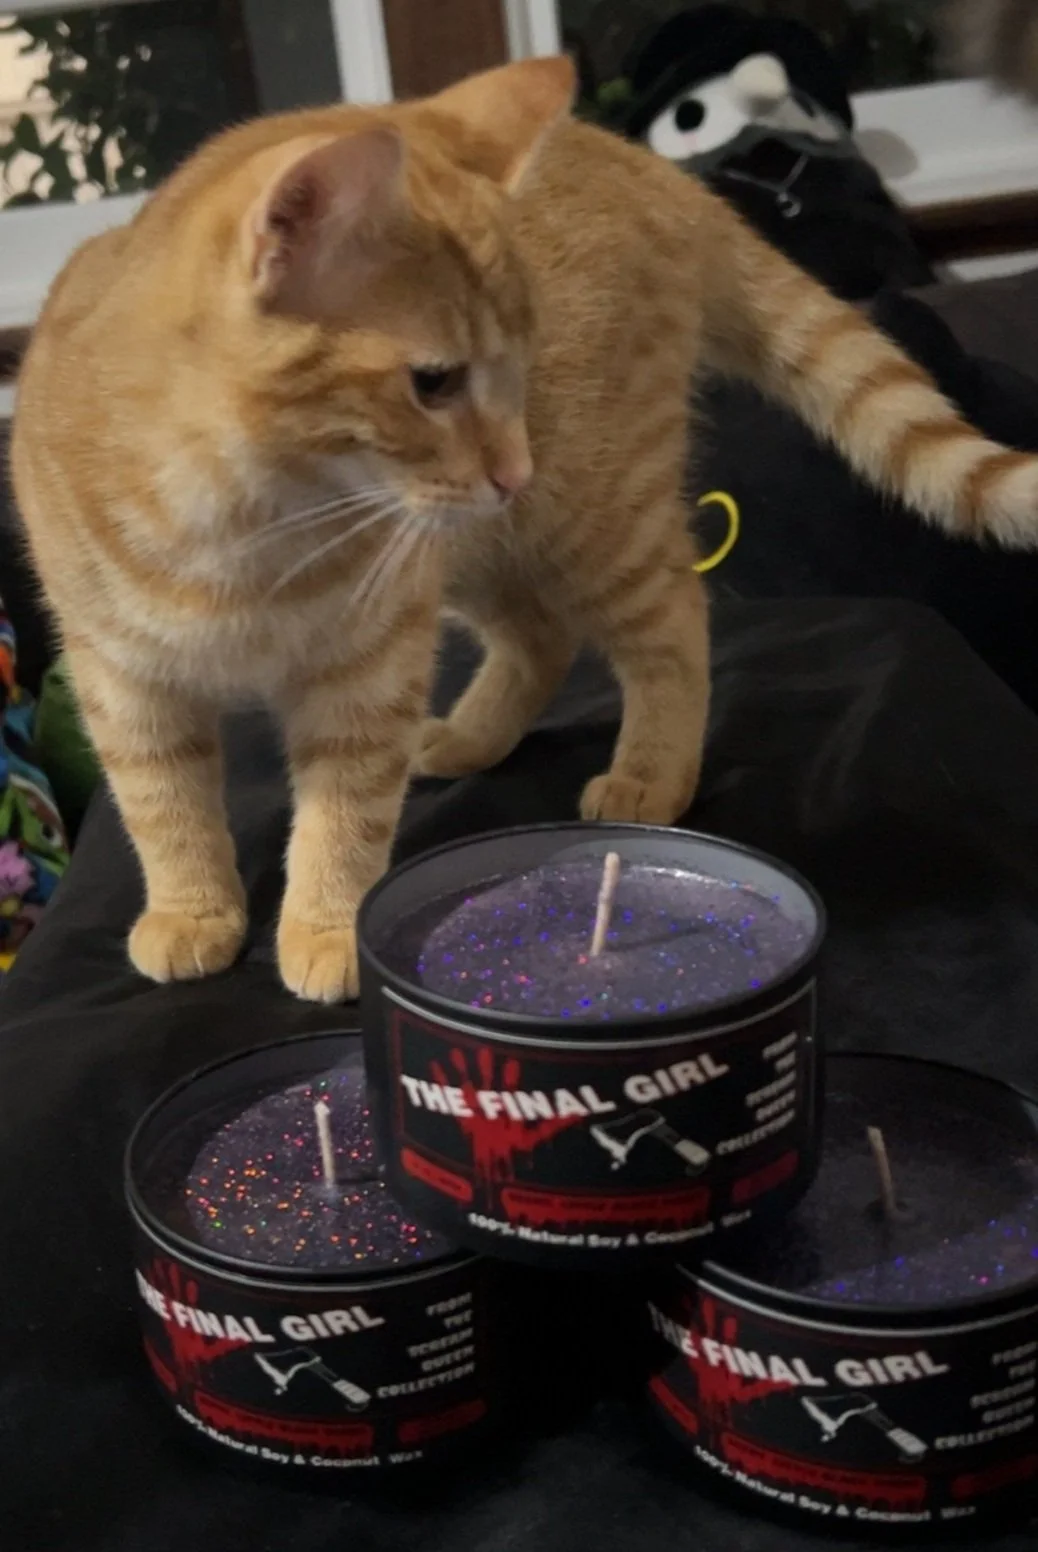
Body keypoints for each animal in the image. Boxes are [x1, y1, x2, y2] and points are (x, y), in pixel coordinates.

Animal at [12, 57, 1038, 1004]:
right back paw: (471, 737)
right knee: (540, 639)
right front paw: (193, 911)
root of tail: (644, 161)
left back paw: (651, 776)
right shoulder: (125, 681)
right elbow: (165, 809)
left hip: (592, 518)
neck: (248, 524)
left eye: (517, 365)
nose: (515, 465)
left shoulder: (369, 669)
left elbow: (345, 813)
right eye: (433, 382)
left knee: (673, 626)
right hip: (476, 545)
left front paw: (332, 929)